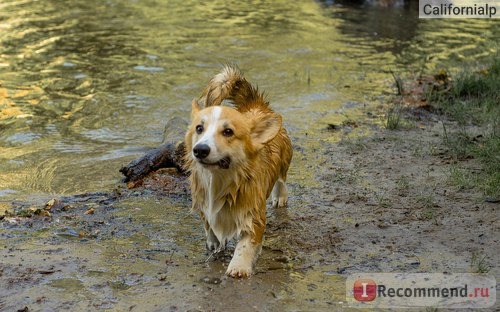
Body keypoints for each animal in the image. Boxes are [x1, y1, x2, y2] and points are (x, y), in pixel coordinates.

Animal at [184, 66, 292, 278]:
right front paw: (214, 244)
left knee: (281, 179)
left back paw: (280, 197)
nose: (200, 150)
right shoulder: (204, 205)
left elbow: (245, 245)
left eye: (228, 132)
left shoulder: (253, 215)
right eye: (199, 128)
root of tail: (256, 104)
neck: (220, 180)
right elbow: (210, 227)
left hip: (285, 159)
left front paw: (238, 267)